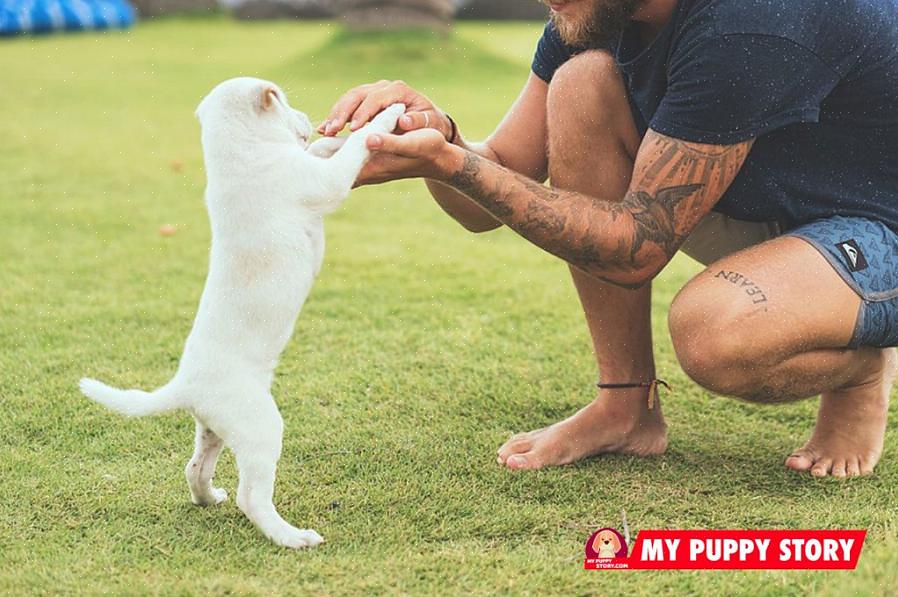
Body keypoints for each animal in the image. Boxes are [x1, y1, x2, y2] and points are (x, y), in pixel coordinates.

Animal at [80, 77, 402, 548]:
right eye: (284, 101)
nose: (311, 120)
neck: (239, 154)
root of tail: (185, 385)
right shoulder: (321, 183)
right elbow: (352, 151)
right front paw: (386, 117)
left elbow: (323, 151)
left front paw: (336, 136)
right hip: (261, 427)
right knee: (251, 497)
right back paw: (292, 537)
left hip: (214, 428)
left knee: (195, 467)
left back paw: (208, 497)